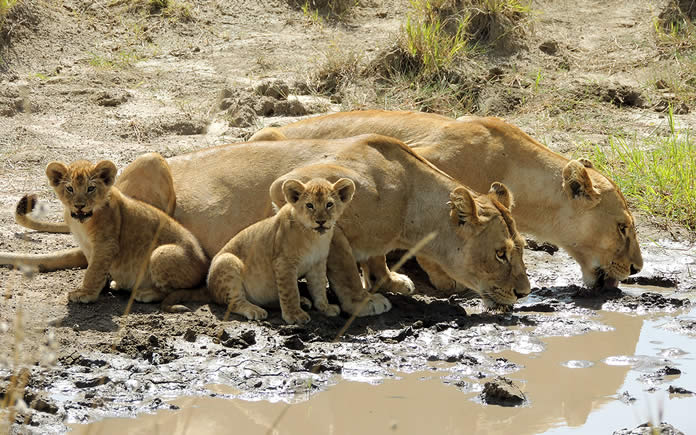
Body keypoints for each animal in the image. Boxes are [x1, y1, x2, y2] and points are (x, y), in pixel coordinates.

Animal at [1, 159, 209, 304]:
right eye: (70, 188)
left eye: (91, 188)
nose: (79, 205)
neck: (81, 223)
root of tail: (205, 260)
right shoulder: (89, 246)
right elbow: (95, 267)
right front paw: (99, 288)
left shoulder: (106, 244)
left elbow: (93, 270)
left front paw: (85, 294)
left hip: (160, 253)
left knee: (175, 289)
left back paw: (145, 292)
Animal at [163, 177, 355, 324]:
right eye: (309, 205)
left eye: (329, 204)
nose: (321, 221)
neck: (314, 237)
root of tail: (208, 288)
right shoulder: (284, 263)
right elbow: (289, 290)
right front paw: (294, 315)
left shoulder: (318, 263)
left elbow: (319, 287)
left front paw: (325, 307)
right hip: (228, 261)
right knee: (234, 302)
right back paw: (255, 310)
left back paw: (303, 301)